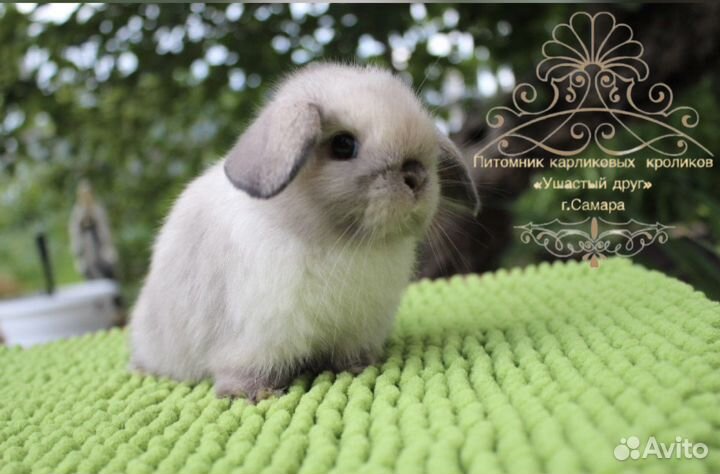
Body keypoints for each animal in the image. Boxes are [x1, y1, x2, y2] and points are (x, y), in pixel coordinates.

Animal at [129, 63, 479, 401]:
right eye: (343, 145)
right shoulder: (257, 335)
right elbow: (245, 366)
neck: (338, 242)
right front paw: (255, 393)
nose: (416, 177)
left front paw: (359, 366)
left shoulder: (357, 328)